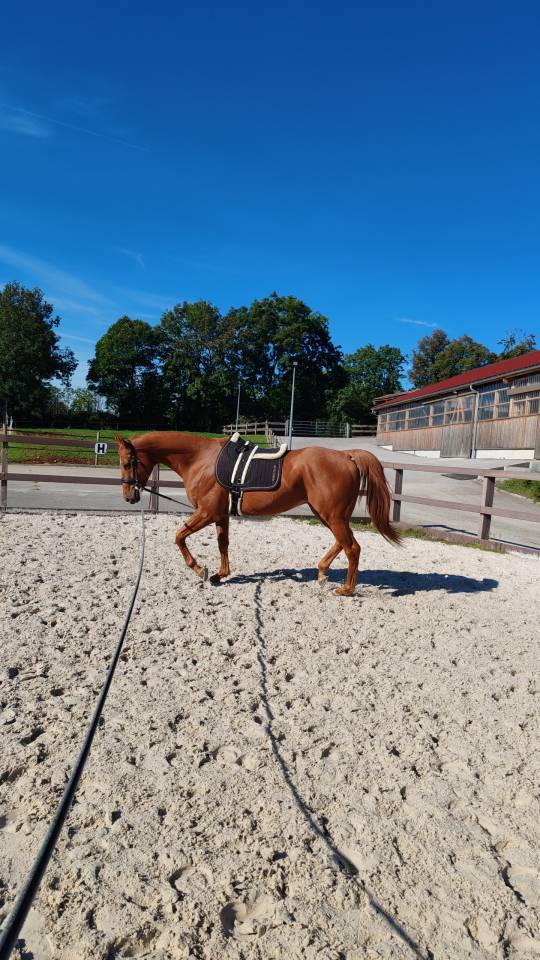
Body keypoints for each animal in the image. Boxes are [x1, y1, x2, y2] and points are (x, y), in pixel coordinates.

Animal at [116, 432, 401, 596]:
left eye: (127, 462)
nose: (129, 496)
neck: (200, 459)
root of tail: (346, 456)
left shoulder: (206, 512)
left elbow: (179, 536)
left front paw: (200, 570)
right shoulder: (220, 515)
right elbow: (223, 544)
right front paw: (220, 574)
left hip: (333, 515)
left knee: (352, 547)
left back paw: (347, 588)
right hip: (328, 514)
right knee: (342, 543)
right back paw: (321, 573)